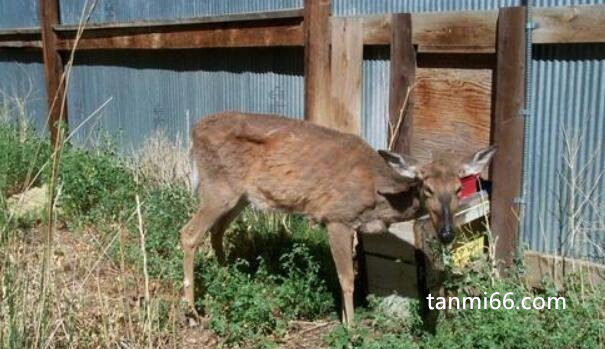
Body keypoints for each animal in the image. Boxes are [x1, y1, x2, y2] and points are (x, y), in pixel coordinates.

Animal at [180, 111, 496, 324]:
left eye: (458, 188)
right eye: (427, 188)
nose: (447, 233)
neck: (377, 195)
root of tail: (194, 131)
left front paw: (346, 320)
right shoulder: (336, 218)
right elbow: (347, 278)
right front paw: (351, 327)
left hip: (240, 196)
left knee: (216, 231)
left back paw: (226, 278)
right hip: (218, 187)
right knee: (189, 233)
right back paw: (193, 311)